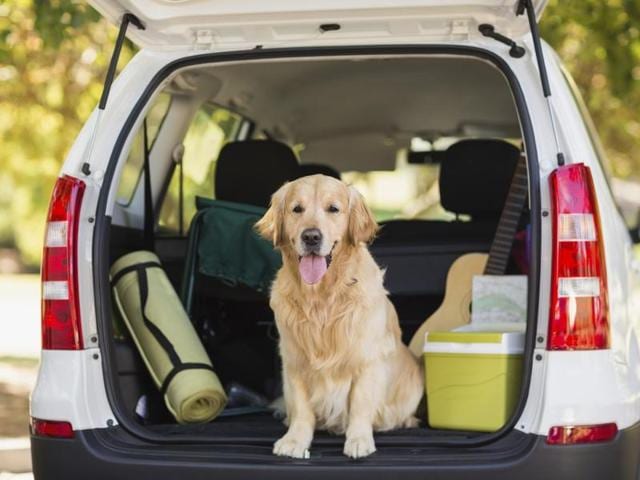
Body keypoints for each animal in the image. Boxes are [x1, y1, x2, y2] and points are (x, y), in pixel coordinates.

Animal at [255, 174, 424, 460]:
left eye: (333, 209)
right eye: (297, 209)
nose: (311, 236)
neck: (322, 298)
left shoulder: (367, 360)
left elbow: (360, 404)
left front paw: (358, 440)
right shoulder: (294, 360)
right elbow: (301, 407)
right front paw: (295, 440)